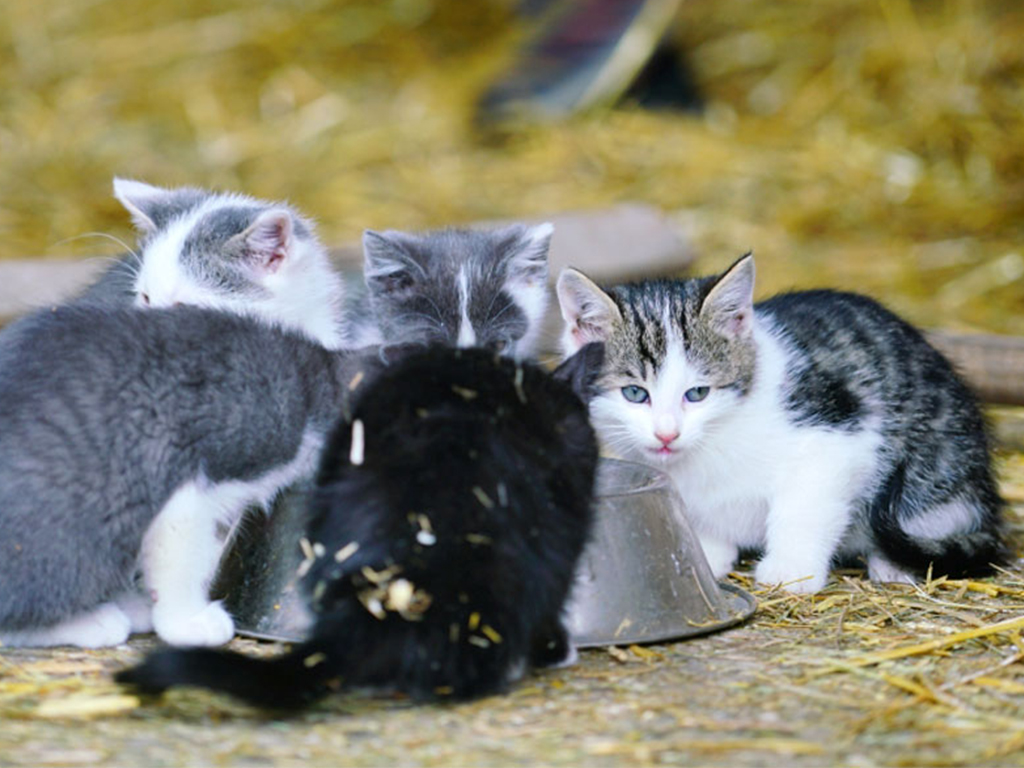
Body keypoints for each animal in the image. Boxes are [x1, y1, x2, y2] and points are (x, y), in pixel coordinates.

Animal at [557, 256, 1003, 593]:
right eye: (635, 394)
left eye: (697, 393)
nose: (667, 433)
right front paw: (706, 551)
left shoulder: (840, 433)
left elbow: (806, 503)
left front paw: (792, 569)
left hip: (937, 469)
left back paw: (895, 564)